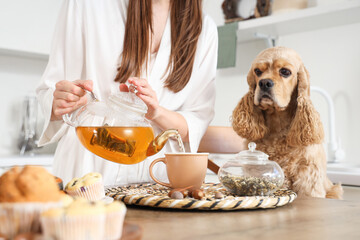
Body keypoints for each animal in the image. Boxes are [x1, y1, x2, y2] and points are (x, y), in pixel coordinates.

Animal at [232, 46, 344, 199]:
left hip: (335, 190)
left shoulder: (307, 177)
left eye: (285, 72)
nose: (264, 83)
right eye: (258, 71)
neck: (277, 127)